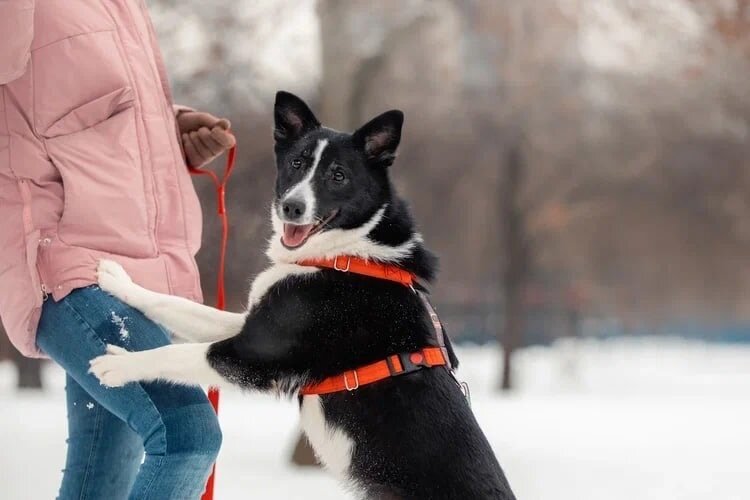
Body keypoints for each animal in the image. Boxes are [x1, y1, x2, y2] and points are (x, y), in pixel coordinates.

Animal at [89, 92, 516, 498]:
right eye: (296, 163)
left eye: (338, 176)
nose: (292, 207)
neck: (347, 256)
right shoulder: (253, 324)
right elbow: (175, 305)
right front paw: (119, 282)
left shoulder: (252, 355)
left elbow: (174, 354)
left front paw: (117, 366)